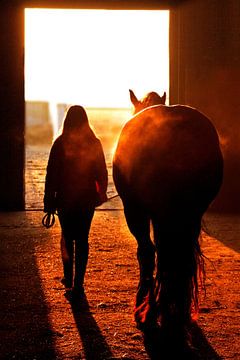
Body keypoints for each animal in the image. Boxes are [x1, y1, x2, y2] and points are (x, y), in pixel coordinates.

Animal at [112, 89, 223, 334]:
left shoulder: (137, 211)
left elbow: (146, 253)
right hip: (191, 215)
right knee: (182, 256)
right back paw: (179, 310)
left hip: (140, 212)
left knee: (150, 252)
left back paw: (149, 309)